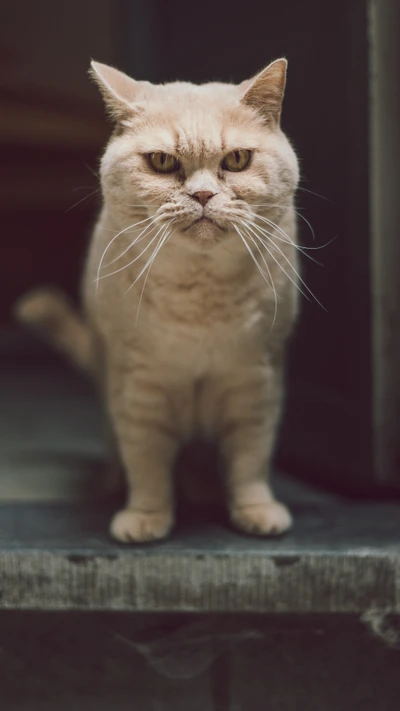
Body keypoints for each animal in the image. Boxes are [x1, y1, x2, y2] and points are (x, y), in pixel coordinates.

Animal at [17, 57, 302, 544]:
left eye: (237, 159)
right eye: (163, 161)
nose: (203, 195)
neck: (201, 300)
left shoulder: (257, 378)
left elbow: (250, 458)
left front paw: (256, 511)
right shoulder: (138, 383)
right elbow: (146, 461)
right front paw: (145, 518)